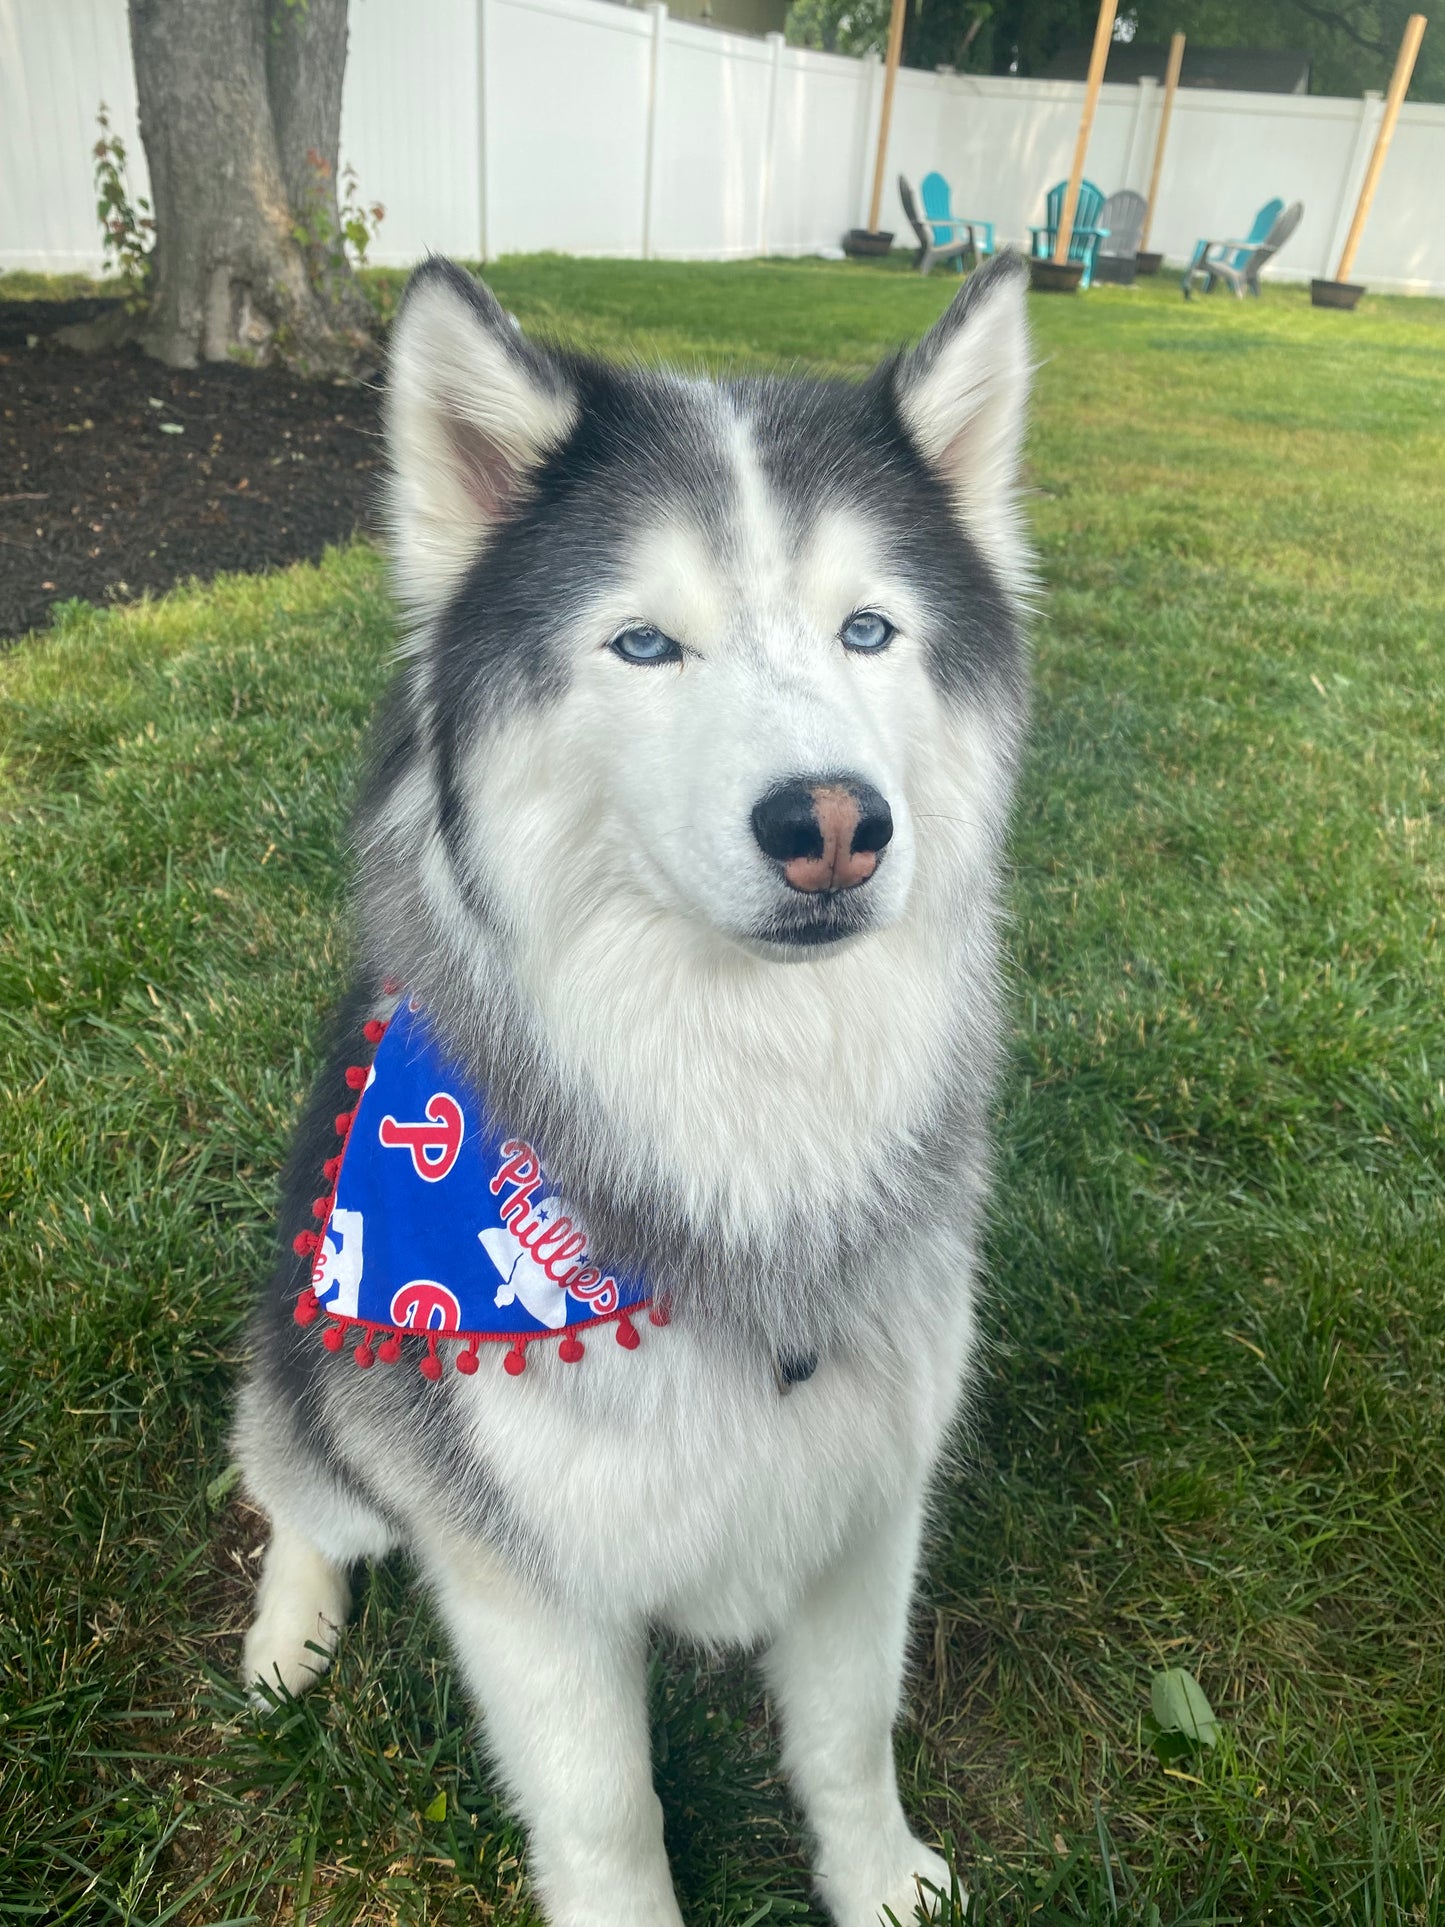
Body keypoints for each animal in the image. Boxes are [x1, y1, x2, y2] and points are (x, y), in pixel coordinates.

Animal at [232, 260, 1032, 1927]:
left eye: (869, 628)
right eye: (645, 645)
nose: (833, 822)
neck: (744, 1095)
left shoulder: (869, 1487)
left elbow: (850, 1730)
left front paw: (882, 1882)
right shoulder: (521, 1567)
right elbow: (609, 1806)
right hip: (312, 1367)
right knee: (295, 1497)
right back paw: (287, 1634)